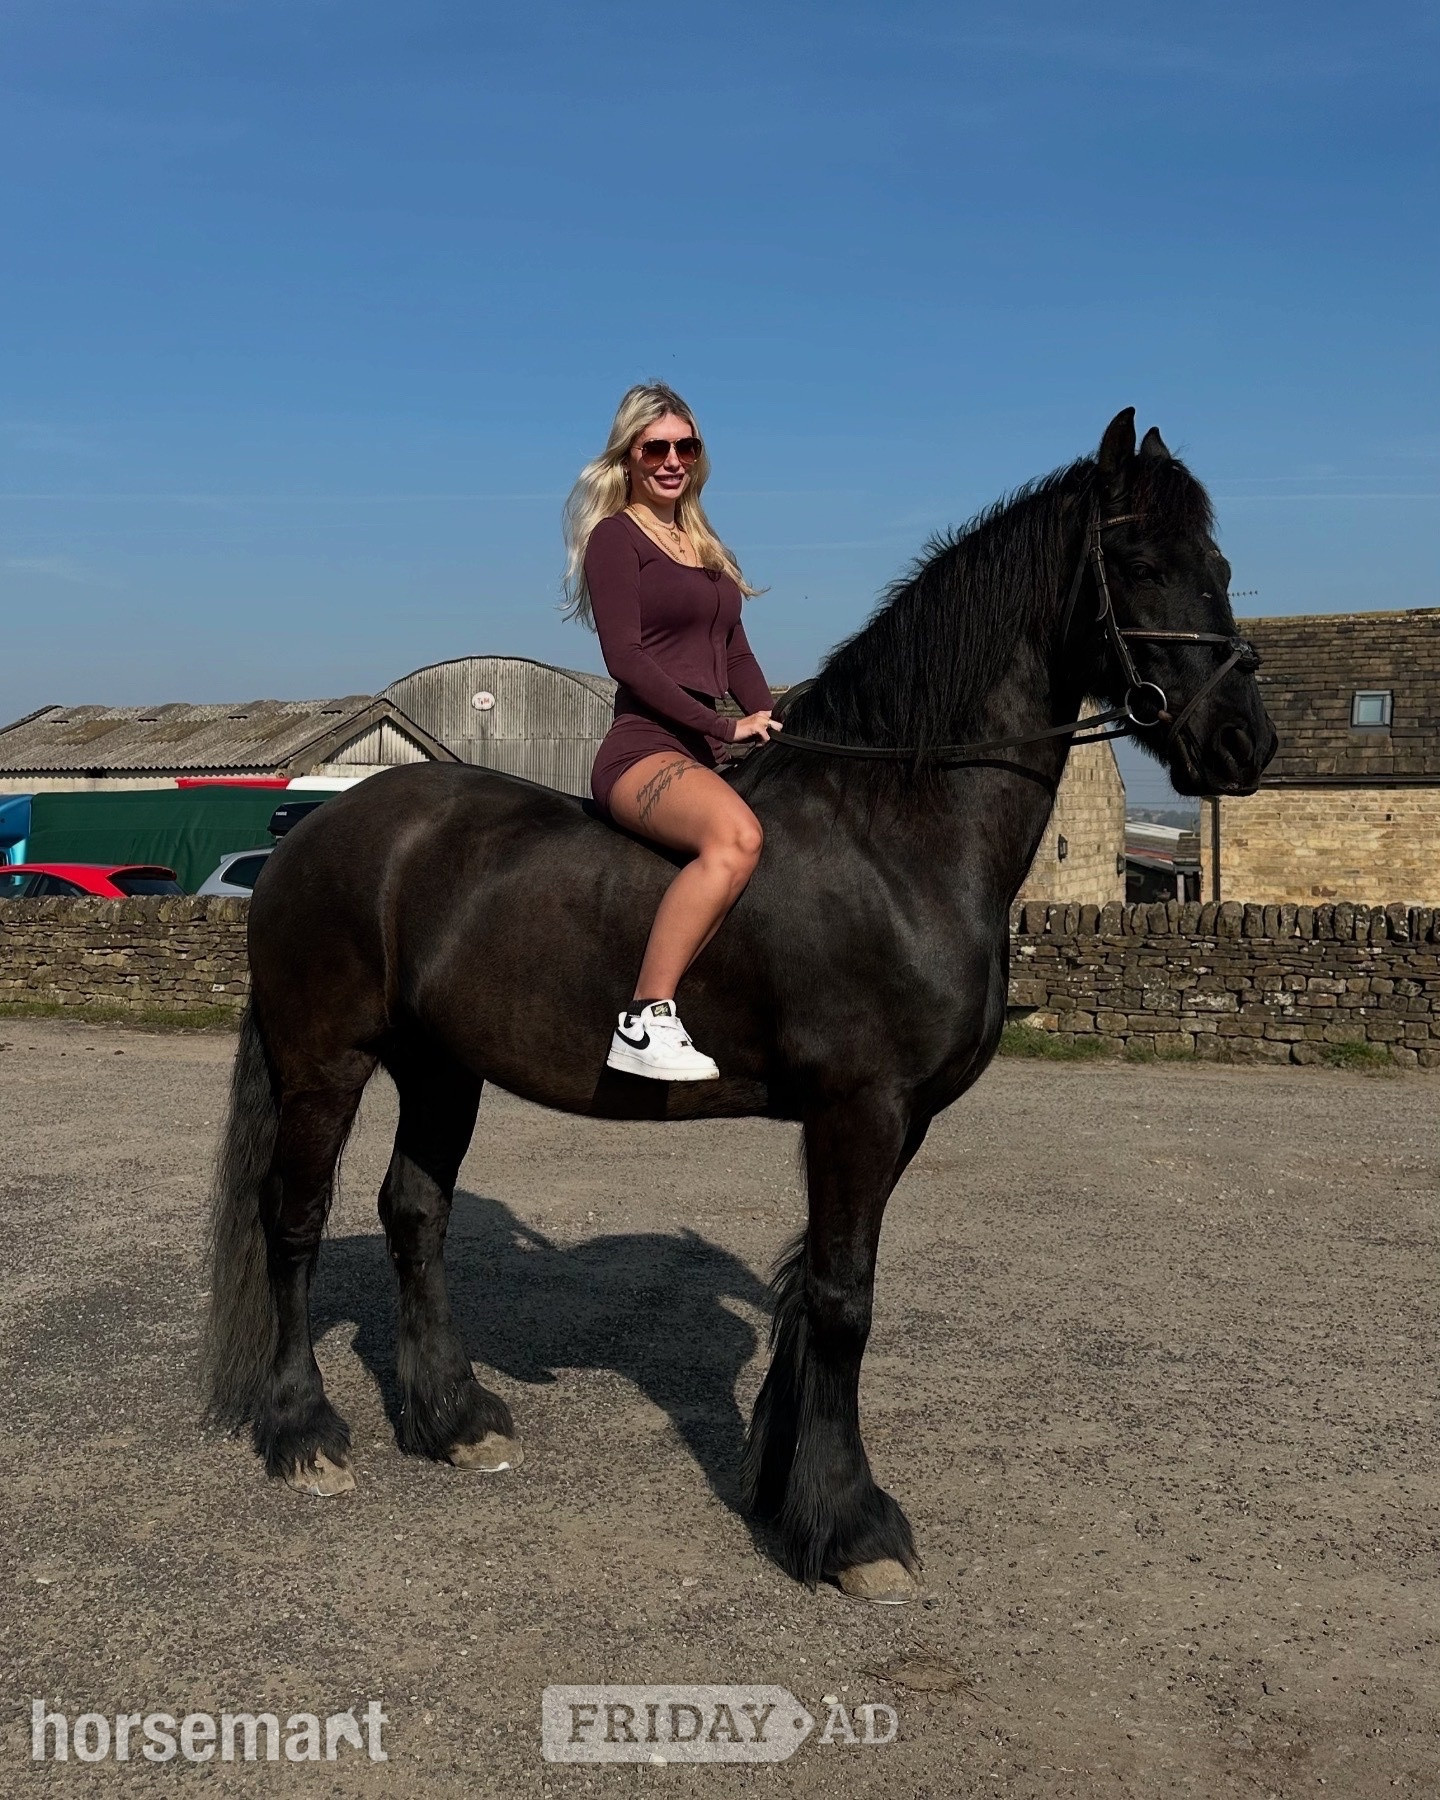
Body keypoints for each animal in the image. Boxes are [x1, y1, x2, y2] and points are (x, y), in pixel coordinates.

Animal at [201, 409, 1277, 1605]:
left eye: (1218, 564)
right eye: (1140, 563)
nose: (1246, 743)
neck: (891, 831)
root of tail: (316, 832)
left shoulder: (898, 1121)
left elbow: (813, 1288)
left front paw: (786, 1491)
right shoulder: (860, 1111)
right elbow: (846, 1301)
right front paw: (851, 1528)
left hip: (443, 1069)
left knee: (414, 1214)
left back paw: (453, 1419)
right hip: (325, 1064)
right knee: (292, 1223)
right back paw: (304, 1433)